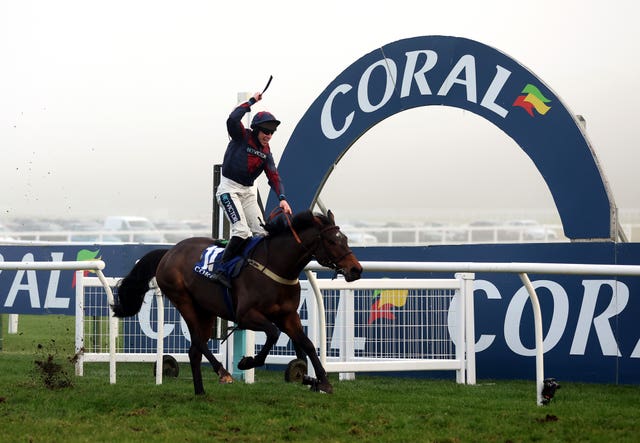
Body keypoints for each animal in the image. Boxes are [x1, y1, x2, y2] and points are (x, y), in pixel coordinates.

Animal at [109, 211, 360, 396]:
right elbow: (272, 333)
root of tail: (169, 251)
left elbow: (307, 344)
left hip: (206, 309)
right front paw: (247, 362)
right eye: (331, 241)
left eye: (346, 239)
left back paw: (200, 392)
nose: (356, 269)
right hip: (183, 300)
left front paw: (323, 381)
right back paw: (223, 372)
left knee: (194, 349)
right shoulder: (246, 315)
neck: (276, 266)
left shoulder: (288, 315)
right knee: (198, 341)